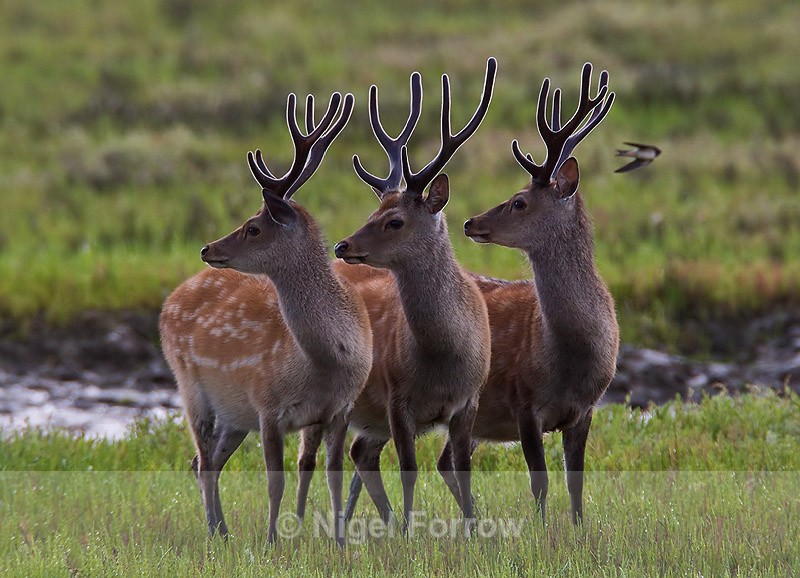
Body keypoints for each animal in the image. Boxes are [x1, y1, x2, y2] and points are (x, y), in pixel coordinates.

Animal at [159, 90, 373, 546]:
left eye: (254, 227)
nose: (207, 248)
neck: (328, 361)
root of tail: (169, 301)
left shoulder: (340, 409)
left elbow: (332, 474)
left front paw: (340, 542)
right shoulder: (267, 403)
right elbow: (275, 481)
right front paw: (273, 541)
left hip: (234, 414)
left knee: (207, 461)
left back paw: (223, 532)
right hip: (190, 387)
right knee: (202, 459)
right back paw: (214, 531)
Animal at [294, 58, 496, 534]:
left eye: (396, 220)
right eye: (374, 211)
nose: (342, 245)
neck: (443, 358)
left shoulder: (469, 400)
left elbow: (461, 468)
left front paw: (474, 532)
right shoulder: (396, 397)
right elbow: (409, 468)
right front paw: (409, 533)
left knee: (358, 454)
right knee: (318, 457)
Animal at [341, 63, 618, 527]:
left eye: (519, 201)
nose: (472, 222)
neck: (569, 355)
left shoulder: (586, 409)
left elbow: (576, 482)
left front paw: (579, 530)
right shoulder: (523, 400)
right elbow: (540, 480)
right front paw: (543, 531)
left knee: (394, 456)